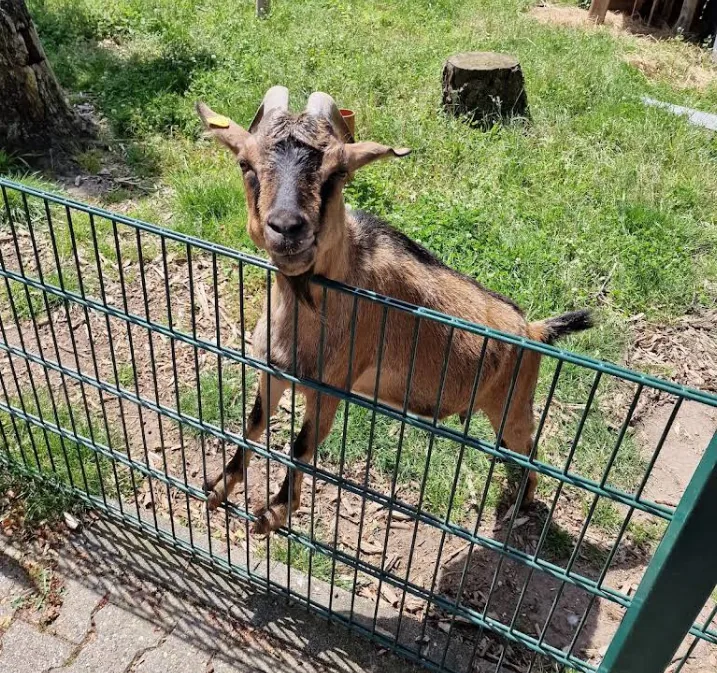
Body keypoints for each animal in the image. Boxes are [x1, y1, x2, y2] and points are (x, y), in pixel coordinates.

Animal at [196, 87, 593, 535]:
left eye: (337, 173)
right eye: (245, 163)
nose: (287, 227)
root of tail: (533, 331)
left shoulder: (331, 387)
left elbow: (300, 445)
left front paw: (274, 511)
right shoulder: (272, 370)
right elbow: (253, 423)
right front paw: (217, 486)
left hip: (513, 402)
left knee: (531, 449)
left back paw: (519, 507)